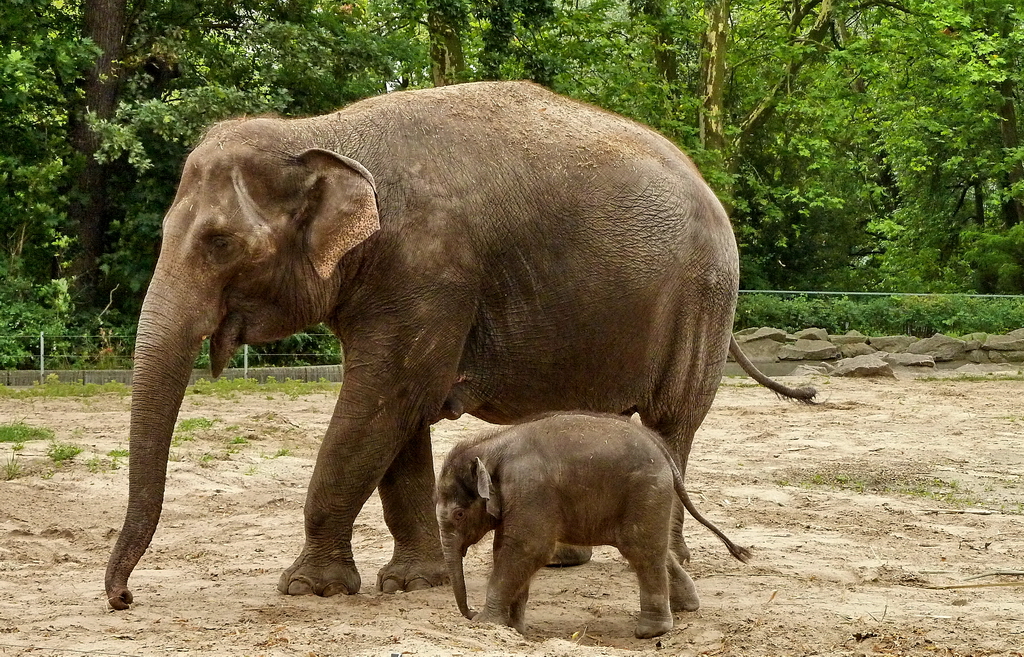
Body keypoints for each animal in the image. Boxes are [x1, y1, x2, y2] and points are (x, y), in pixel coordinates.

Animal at [101, 81, 806, 609]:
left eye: (219, 242)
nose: (124, 599)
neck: (322, 133)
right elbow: (397, 418)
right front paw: (415, 581)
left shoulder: (428, 273)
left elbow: (381, 404)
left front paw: (308, 589)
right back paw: (564, 560)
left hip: (702, 298)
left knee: (672, 421)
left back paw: (663, 556)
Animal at [436, 411, 749, 638]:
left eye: (459, 514)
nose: (469, 612)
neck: (491, 447)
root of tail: (661, 449)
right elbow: (507, 549)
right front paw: (514, 629)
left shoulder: (530, 489)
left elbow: (528, 549)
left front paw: (486, 624)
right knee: (655, 550)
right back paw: (687, 608)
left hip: (646, 491)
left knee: (640, 550)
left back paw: (650, 632)